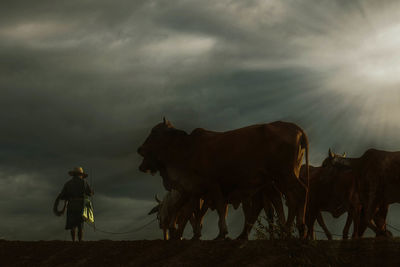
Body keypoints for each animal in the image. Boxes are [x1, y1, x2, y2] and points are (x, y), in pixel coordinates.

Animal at [138, 119, 310, 241]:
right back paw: (286, 230)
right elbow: (190, 213)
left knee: (298, 193)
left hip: (284, 175)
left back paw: (298, 229)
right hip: (278, 179)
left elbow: (218, 208)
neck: (188, 149)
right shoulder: (196, 190)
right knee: (286, 200)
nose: (139, 149)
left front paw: (221, 233)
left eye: (154, 132)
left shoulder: (211, 185)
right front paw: (183, 234)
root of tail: (297, 128)